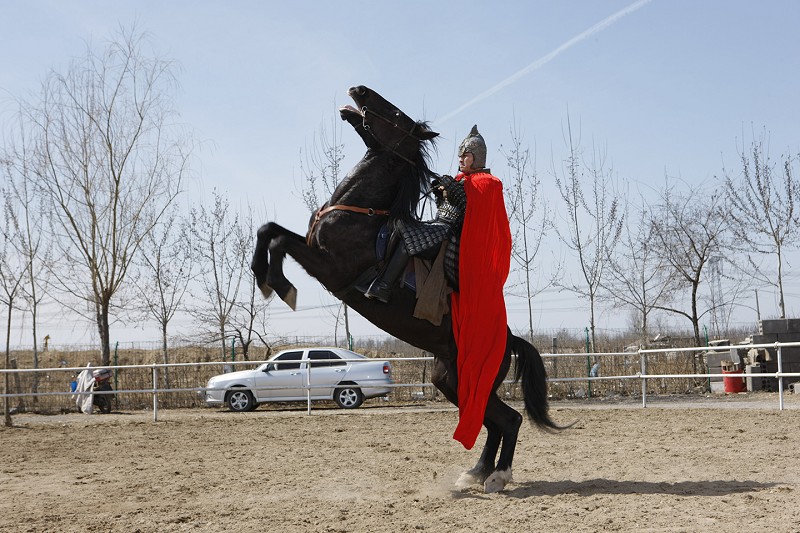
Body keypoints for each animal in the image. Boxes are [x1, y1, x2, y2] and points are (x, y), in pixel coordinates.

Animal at [252, 85, 564, 492]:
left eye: (397, 115)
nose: (358, 90)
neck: (360, 212)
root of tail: (509, 337)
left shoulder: (328, 266)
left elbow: (278, 243)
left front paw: (280, 285)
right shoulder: (310, 246)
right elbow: (269, 230)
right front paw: (260, 274)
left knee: (508, 420)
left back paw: (496, 476)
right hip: (451, 381)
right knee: (494, 422)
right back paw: (475, 473)